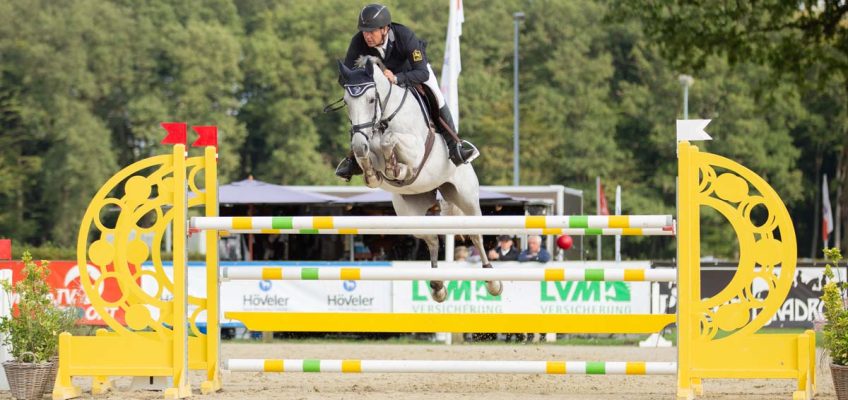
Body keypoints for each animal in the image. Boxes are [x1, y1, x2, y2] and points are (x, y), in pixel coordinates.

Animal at [334, 55, 500, 300]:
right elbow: (370, 159)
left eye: (372, 100)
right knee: (431, 239)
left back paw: (492, 280)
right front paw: (374, 171)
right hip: (410, 212)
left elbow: (390, 141)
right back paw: (438, 285)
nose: (359, 142)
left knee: (475, 236)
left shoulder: (416, 150)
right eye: (346, 102)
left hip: (466, 198)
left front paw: (397, 167)